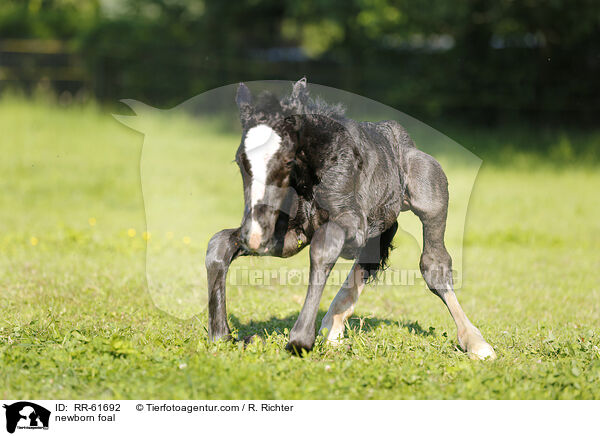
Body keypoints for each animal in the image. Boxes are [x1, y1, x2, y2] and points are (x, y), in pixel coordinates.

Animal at [206, 78, 496, 362]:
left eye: (287, 161)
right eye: (239, 161)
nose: (255, 236)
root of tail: (400, 138)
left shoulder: (353, 227)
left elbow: (324, 246)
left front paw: (300, 341)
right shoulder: (289, 236)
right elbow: (219, 244)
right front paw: (221, 335)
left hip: (430, 199)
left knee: (433, 264)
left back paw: (477, 343)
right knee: (371, 258)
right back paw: (332, 328)